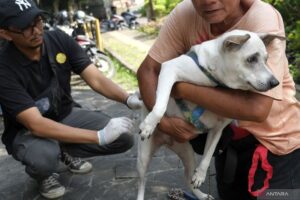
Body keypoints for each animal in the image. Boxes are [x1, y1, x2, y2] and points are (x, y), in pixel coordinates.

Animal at [136, 29, 284, 200]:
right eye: (251, 59)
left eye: (267, 59)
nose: (275, 83)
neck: (216, 77)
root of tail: (167, 141)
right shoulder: (170, 68)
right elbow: (161, 105)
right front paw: (149, 124)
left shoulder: (217, 130)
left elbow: (208, 156)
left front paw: (200, 175)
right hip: (143, 158)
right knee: (142, 182)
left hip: (188, 154)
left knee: (187, 179)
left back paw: (201, 195)